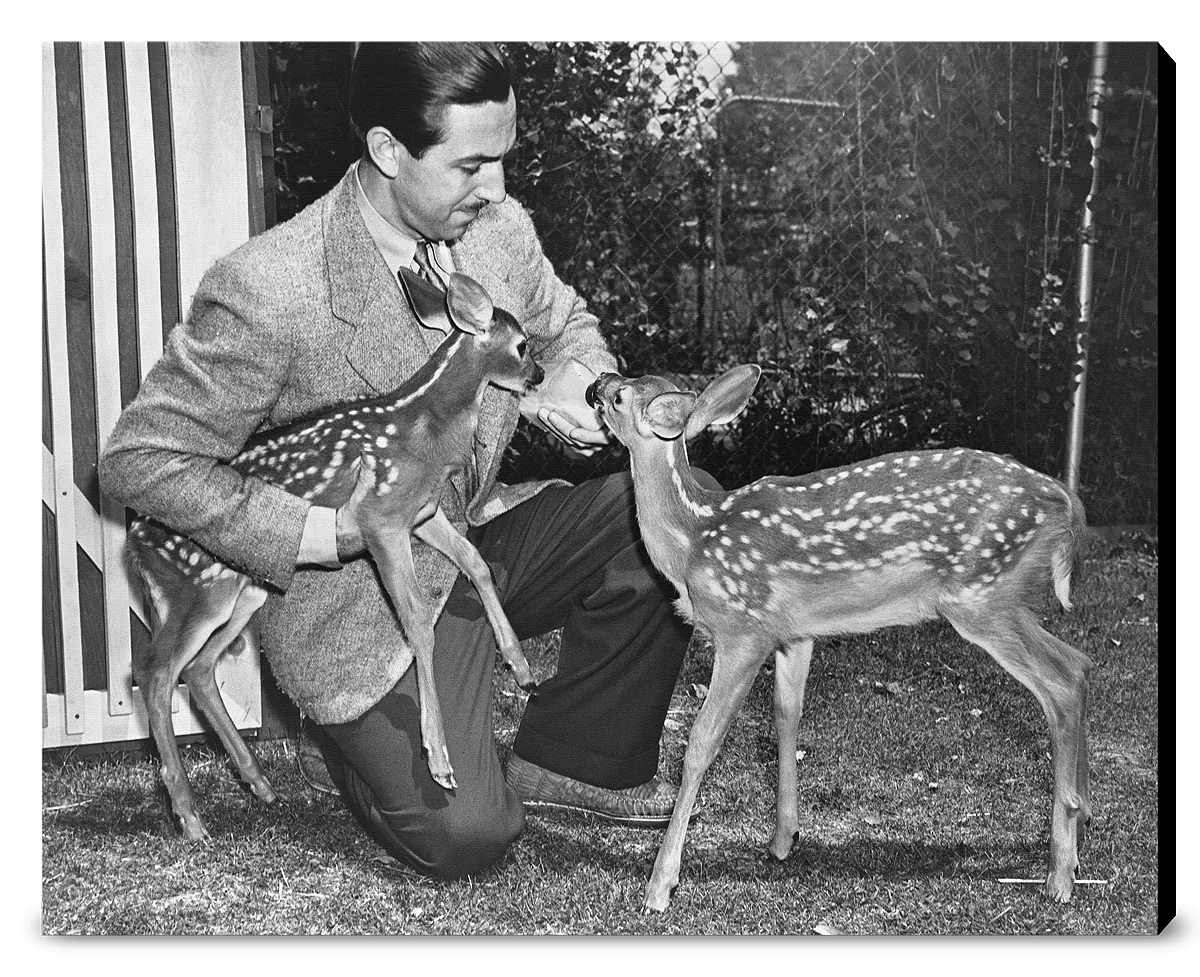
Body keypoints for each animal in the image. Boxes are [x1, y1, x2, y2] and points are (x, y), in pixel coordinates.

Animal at [125, 270, 541, 842]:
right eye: (522, 346)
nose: (539, 375)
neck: (426, 423)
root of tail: (134, 542)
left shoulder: (421, 513)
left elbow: (475, 563)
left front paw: (520, 666)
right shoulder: (380, 518)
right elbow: (417, 623)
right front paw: (439, 760)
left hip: (245, 590)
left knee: (202, 668)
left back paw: (259, 784)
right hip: (195, 588)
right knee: (154, 671)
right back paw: (190, 816)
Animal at [585, 364, 1092, 912]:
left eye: (619, 395)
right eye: (623, 377)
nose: (594, 384)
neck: (693, 541)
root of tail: (1065, 504)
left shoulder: (745, 628)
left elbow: (701, 740)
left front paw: (660, 885)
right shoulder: (795, 633)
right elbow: (785, 715)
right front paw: (784, 838)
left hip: (981, 596)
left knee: (1062, 681)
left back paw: (1060, 873)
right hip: (1001, 598)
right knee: (1079, 663)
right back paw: (1081, 829)